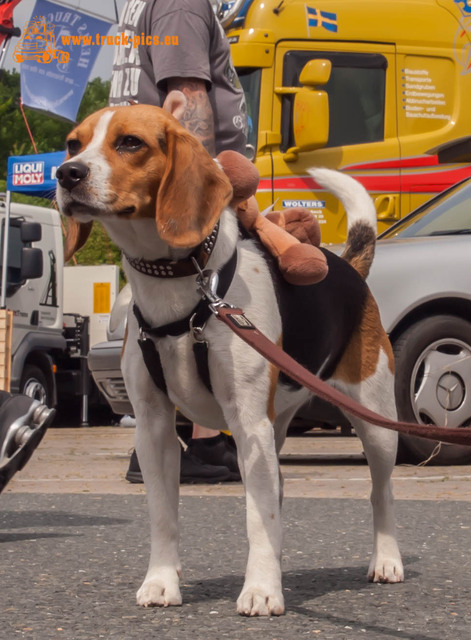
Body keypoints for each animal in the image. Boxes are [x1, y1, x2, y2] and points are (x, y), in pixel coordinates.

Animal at [54, 99, 402, 616]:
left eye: (130, 143)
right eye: (74, 143)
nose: (66, 173)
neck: (183, 286)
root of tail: (349, 268)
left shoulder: (247, 424)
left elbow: (257, 518)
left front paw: (260, 590)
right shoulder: (153, 426)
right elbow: (164, 514)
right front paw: (162, 581)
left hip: (376, 422)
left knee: (381, 492)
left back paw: (386, 559)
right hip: (278, 425)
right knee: (280, 493)